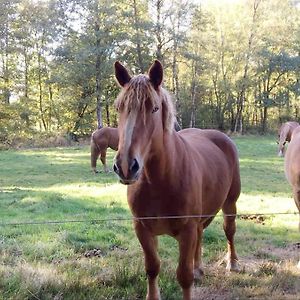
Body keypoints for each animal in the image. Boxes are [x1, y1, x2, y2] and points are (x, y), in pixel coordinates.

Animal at [112, 60, 241, 300]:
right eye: (119, 108)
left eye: (154, 108)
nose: (125, 166)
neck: (160, 181)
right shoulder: (142, 229)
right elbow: (152, 267)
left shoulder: (186, 230)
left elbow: (184, 275)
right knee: (201, 233)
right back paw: (199, 267)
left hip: (230, 203)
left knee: (229, 230)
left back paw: (233, 263)